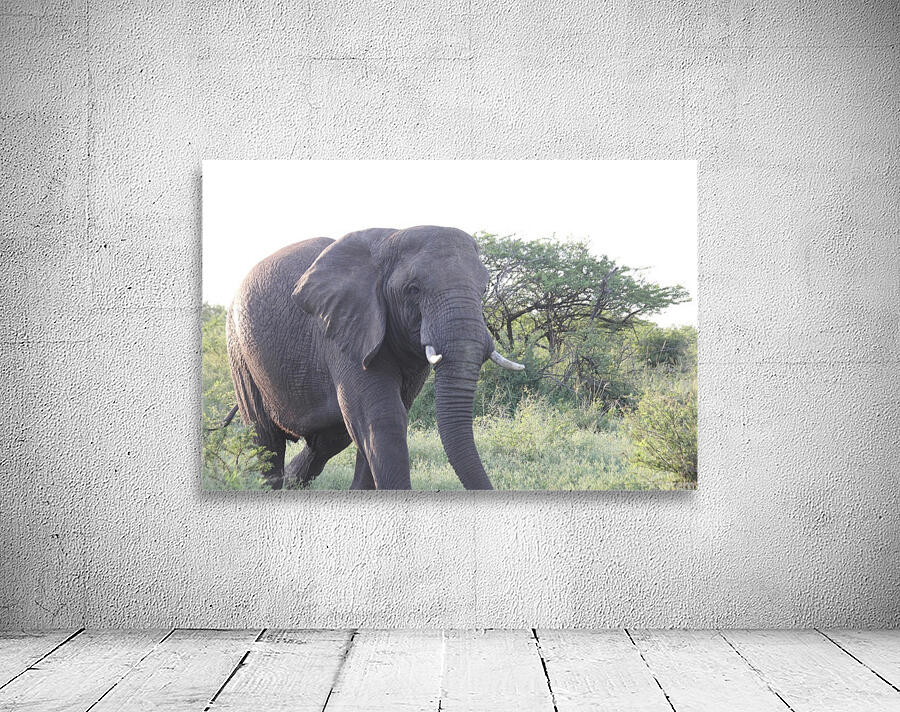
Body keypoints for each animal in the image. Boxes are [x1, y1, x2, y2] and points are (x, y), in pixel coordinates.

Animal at [225, 225, 524, 491]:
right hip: (239, 350)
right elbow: (383, 417)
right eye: (413, 289)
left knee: (328, 440)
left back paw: (292, 481)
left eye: (483, 290)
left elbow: (379, 419)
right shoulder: (343, 327)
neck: (389, 241)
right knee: (265, 437)